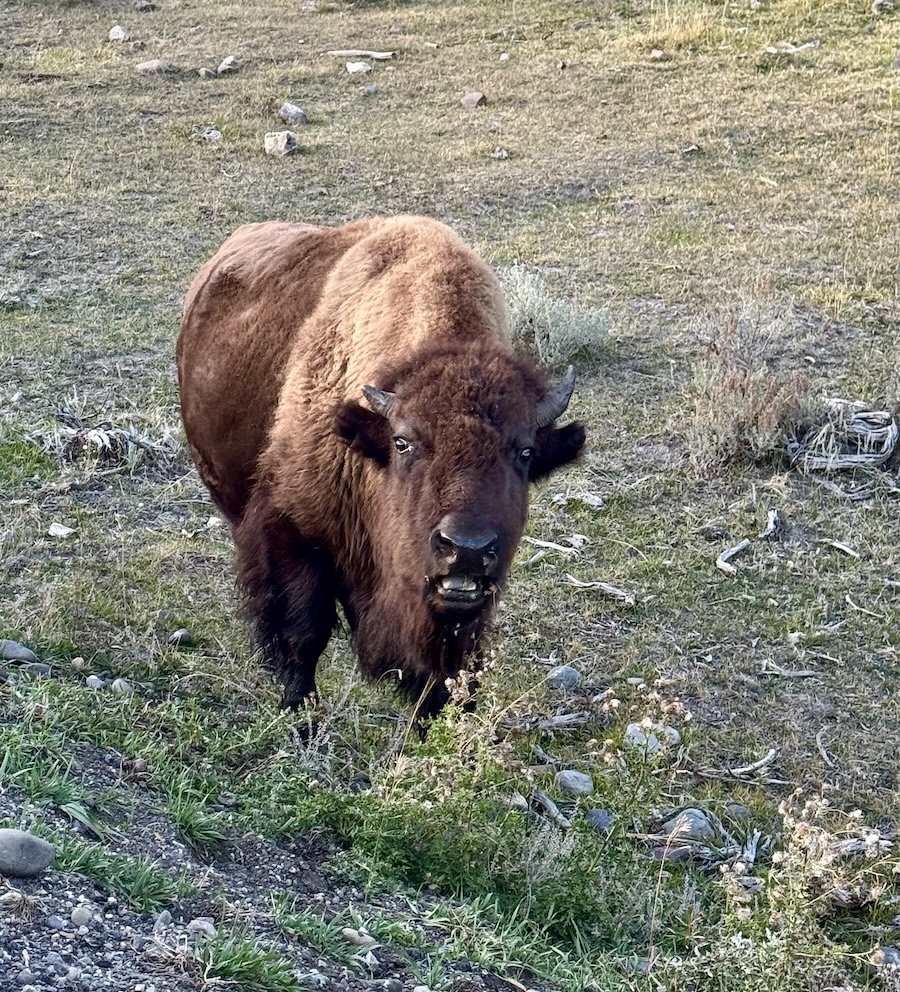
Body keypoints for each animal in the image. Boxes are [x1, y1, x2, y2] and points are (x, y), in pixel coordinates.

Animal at [177, 216, 586, 718]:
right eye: (403, 442)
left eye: (525, 452)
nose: (467, 548)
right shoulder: (292, 531)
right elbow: (303, 636)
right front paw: (299, 714)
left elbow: (448, 674)